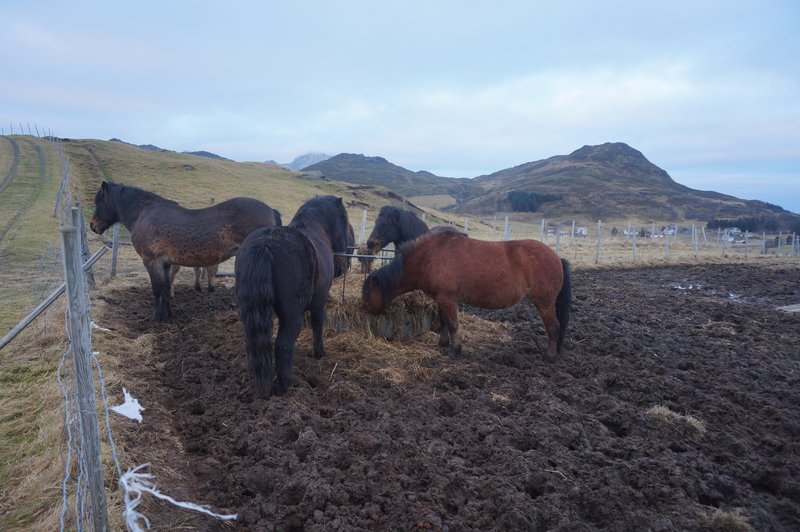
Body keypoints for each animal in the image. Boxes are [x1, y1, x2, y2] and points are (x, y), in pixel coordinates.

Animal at [89, 181, 281, 320]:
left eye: (98, 201)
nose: (93, 226)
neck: (144, 213)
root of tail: (271, 210)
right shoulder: (165, 264)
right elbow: (166, 288)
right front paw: (168, 315)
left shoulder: (151, 261)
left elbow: (157, 289)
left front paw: (157, 318)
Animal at [235, 195, 351, 398]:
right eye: (343, 219)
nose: (342, 265)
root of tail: (264, 245)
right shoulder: (319, 302)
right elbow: (317, 324)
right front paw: (319, 352)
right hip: (291, 316)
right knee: (283, 345)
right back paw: (287, 386)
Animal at [362, 228, 571, 359]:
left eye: (367, 294)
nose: (366, 311)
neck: (429, 256)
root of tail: (557, 257)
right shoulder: (441, 299)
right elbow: (443, 321)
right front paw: (443, 343)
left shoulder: (448, 299)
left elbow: (453, 324)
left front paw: (455, 350)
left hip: (544, 303)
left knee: (554, 327)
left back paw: (550, 356)